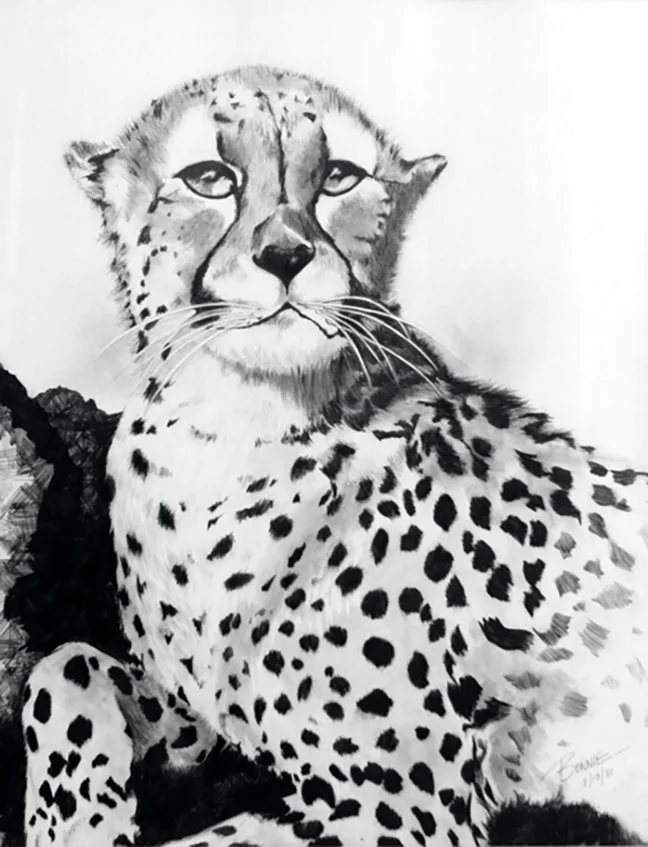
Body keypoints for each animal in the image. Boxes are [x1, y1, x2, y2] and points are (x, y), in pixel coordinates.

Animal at [20, 64, 648, 846]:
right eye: (209, 178)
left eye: (340, 178)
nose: (286, 256)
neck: (228, 429)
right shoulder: (202, 719)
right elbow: (66, 664)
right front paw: (72, 819)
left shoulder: (398, 805)